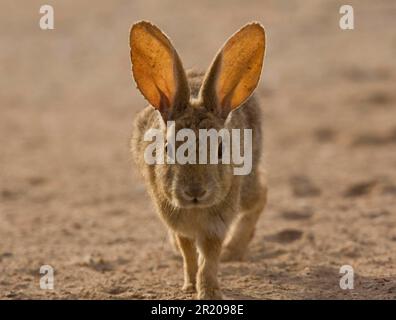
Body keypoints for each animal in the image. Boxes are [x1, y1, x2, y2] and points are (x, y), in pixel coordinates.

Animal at [128, 20, 268, 300]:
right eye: (168, 147)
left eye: (221, 149)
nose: (195, 192)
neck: (194, 210)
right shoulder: (176, 219)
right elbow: (188, 253)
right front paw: (190, 285)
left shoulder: (217, 223)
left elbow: (210, 258)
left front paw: (210, 292)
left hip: (246, 188)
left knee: (261, 194)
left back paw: (234, 250)